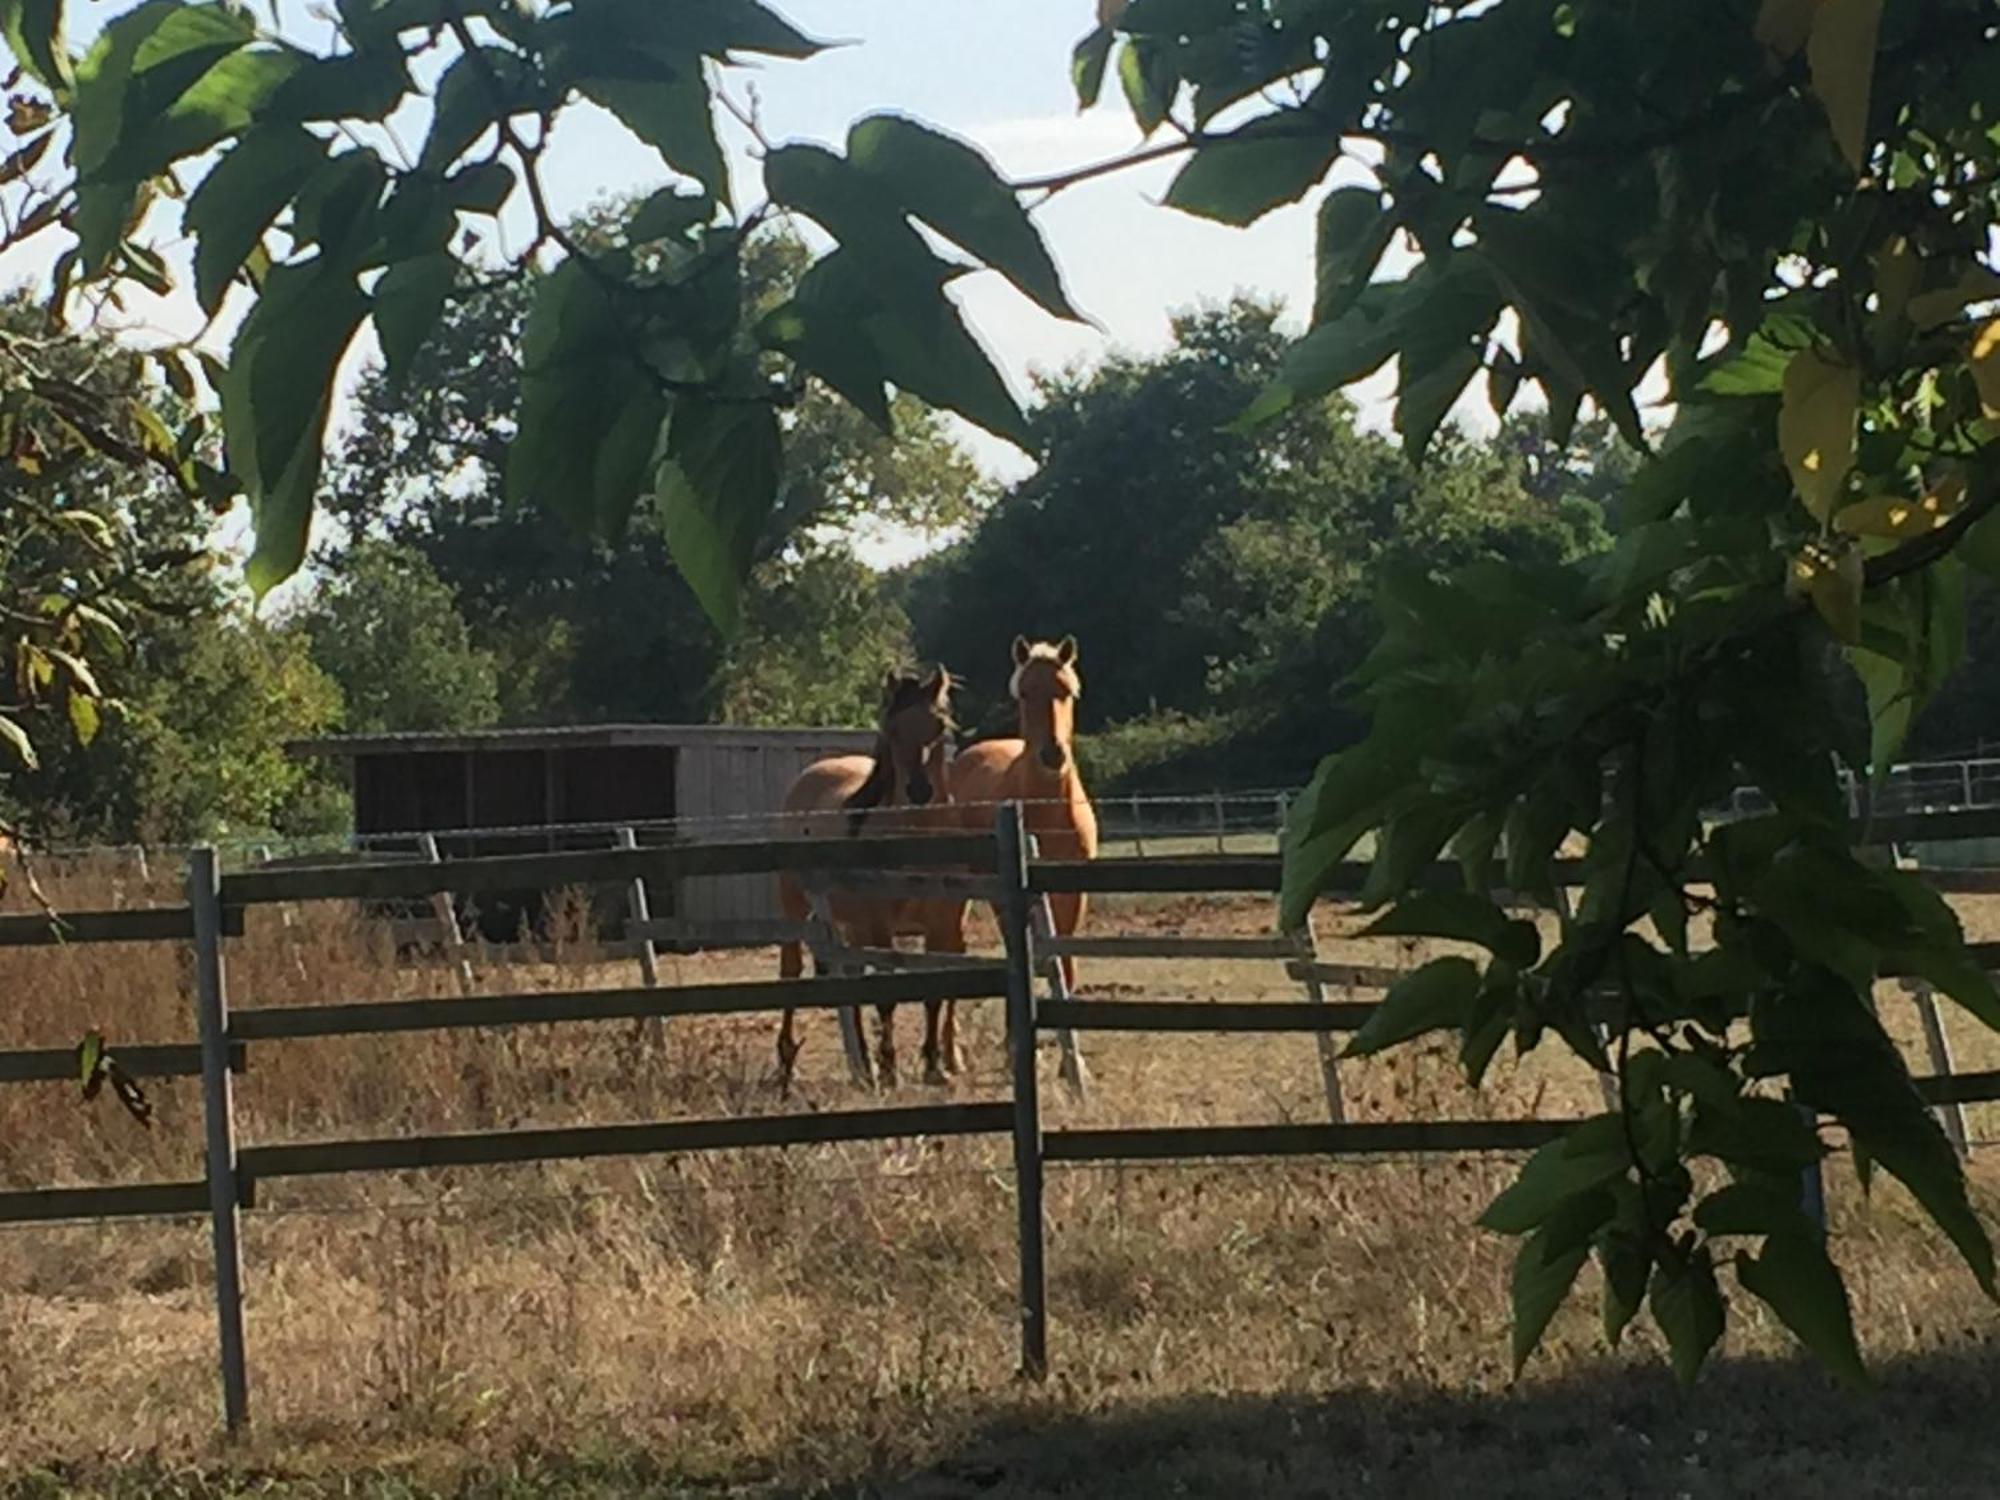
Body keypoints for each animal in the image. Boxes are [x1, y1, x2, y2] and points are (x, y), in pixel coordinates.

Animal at [772, 668, 968, 1096]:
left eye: (939, 727)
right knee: (791, 971)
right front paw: (892, 1070)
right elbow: (886, 997)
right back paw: (788, 1066)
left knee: (852, 978)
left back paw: (863, 1067)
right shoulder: (880, 925)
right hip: (797, 908)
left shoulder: (942, 923)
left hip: (849, 924)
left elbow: (934, 994)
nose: (919, 790)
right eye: (892, 730)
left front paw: (934, 1068)